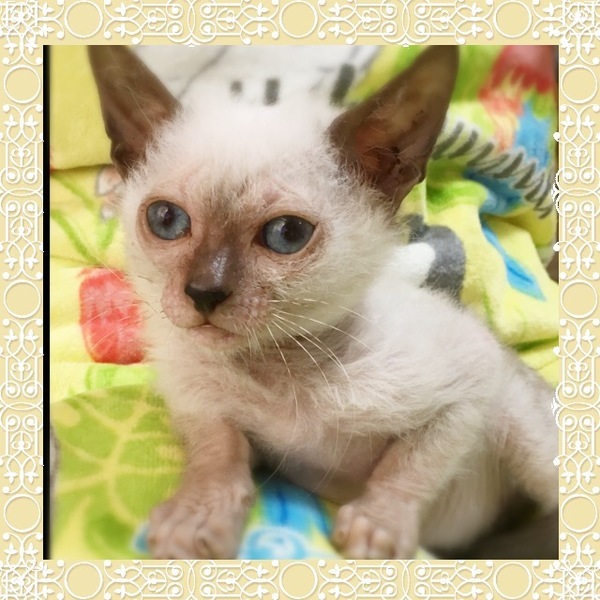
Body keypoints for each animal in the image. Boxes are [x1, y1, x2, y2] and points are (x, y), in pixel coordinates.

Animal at [88, 45, 558, 560]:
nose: (204, 293)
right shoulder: (198, 403)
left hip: (529, 437)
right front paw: (197, 518)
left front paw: (376, 528)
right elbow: (216, 453)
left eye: (287, 234)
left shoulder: (474, 380)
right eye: (166, 220)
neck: (280, 366)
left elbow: (408, 469)